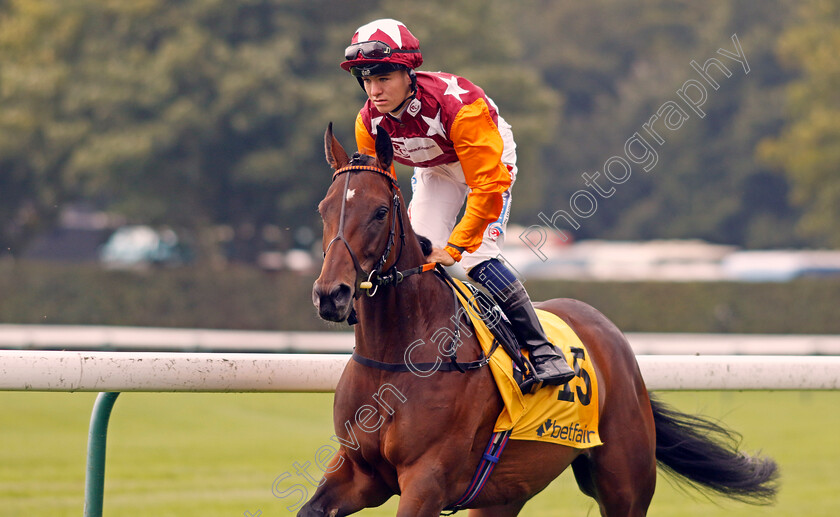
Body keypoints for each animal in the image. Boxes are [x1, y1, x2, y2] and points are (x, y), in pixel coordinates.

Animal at [304, 125, 780, 516]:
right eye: (323, 208)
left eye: (380, 211)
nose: (331, 294)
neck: (398, 356)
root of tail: (614, 340)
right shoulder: (358, 472)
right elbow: (311, 508)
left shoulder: (427, 481)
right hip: (502, 493)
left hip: (624, 483)